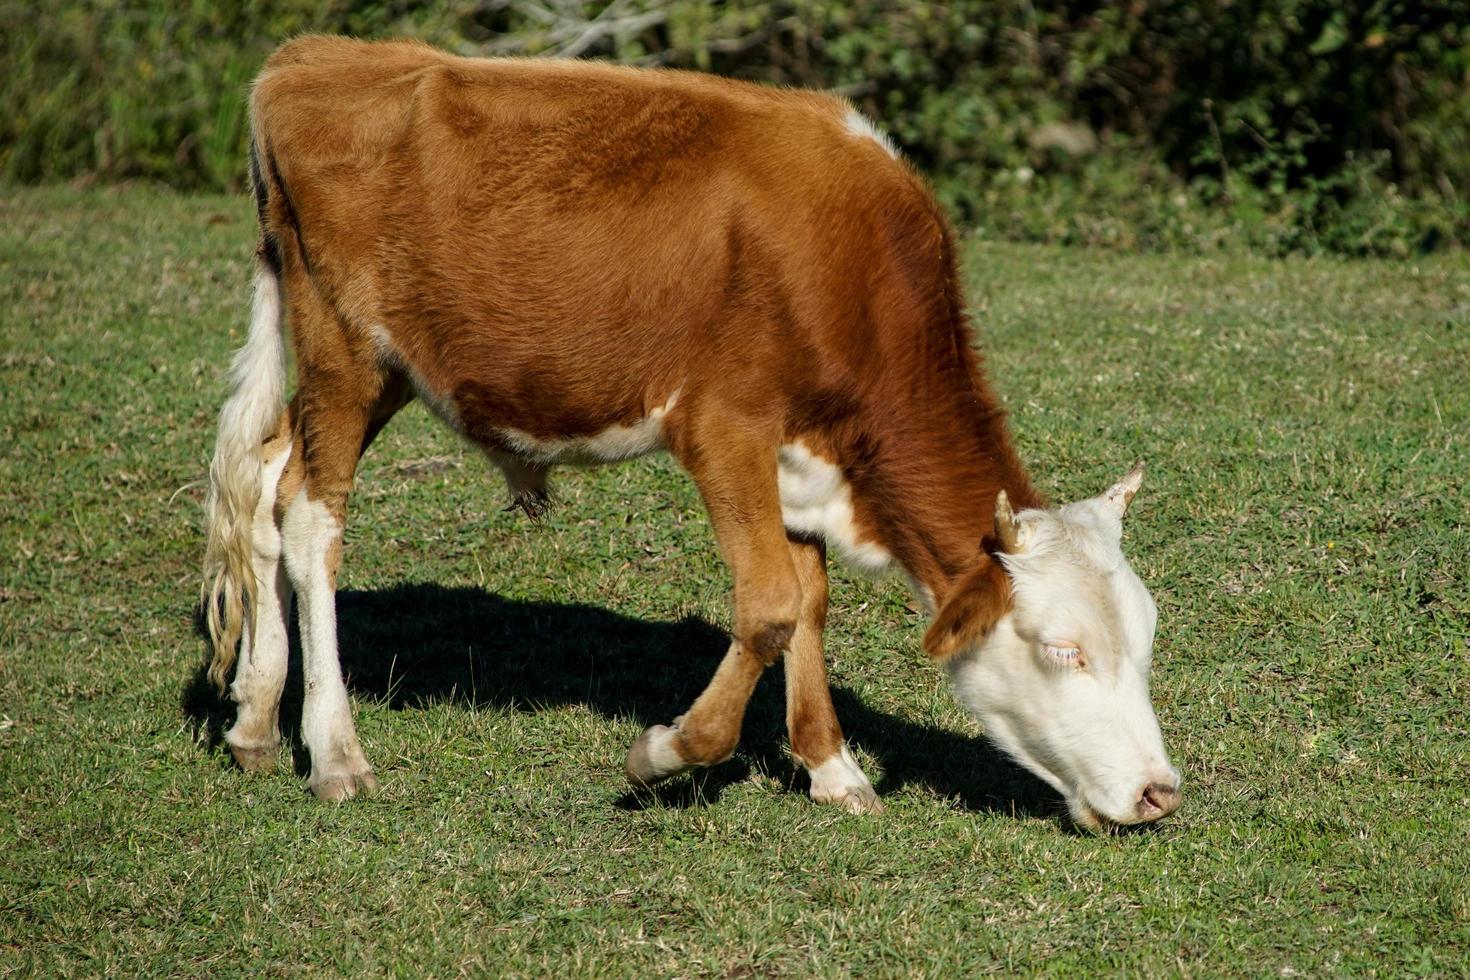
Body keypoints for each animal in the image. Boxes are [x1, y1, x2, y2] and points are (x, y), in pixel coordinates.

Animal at [204, 34, 1181, 834]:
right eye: (1063, 649)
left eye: (1144, 635)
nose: (1159, 792)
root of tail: (310, 58)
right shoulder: (723, 426)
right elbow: (771, 604)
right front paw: (665, 752)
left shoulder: (801, 456)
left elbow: (808, 599)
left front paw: (831, 766)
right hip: (343, 347)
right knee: (314, 522)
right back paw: (335, 751)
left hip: (391, 368)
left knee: (269, 484)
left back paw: (254, 721)